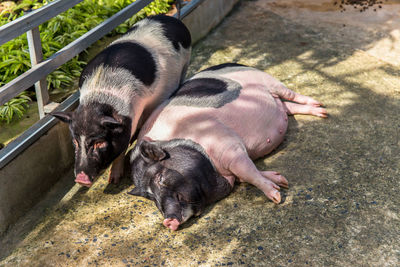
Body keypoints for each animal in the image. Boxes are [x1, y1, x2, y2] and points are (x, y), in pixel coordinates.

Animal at [50, 14, 191, 186]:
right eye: (75, 142)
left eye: (99, 142)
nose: (81, 179)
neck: (100, 97)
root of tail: (170, 19)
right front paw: (113, 181)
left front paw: (114, 180)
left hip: (185, 62)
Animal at [126, 62, 326, 230]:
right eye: (150, 196)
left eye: (160, 178)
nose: (168, 221)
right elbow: (248, 174)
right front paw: (281, 181)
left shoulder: (230, 147)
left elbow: (249, 172)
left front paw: (276, 196)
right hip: (277, 101)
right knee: (289, 108)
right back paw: (319, 112)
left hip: (270, 81)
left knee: (292, 95)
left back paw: (321, 108)